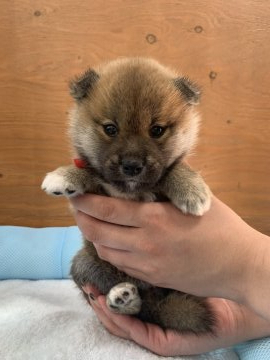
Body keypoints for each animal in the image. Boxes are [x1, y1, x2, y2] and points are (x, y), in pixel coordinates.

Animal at [42, 57, 215, 334]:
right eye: (111, 129)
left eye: (157, 130)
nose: (132, 165)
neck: (131, 192)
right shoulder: (100, 186)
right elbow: (91, 172)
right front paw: (65, 176)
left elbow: (174, 168)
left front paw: (192, 189)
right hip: (84, 263)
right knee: (136, 307)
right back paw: (123, 297)